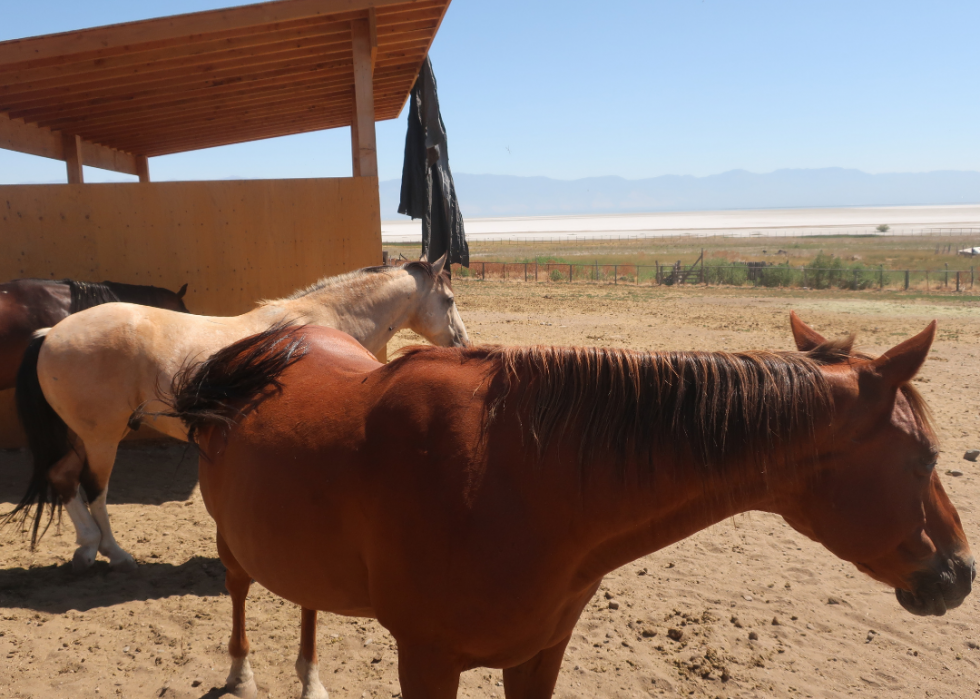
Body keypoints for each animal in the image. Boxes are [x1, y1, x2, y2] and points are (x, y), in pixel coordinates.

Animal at [168, 314, 972, 699]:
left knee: (306, 598)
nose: (961, 573)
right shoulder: (426, 662)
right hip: (233, 542)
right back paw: (242, 675)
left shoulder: (539, 654)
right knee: (239, 588)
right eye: (926, 458)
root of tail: (268, 343)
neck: (511, 479)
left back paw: (310, 676)